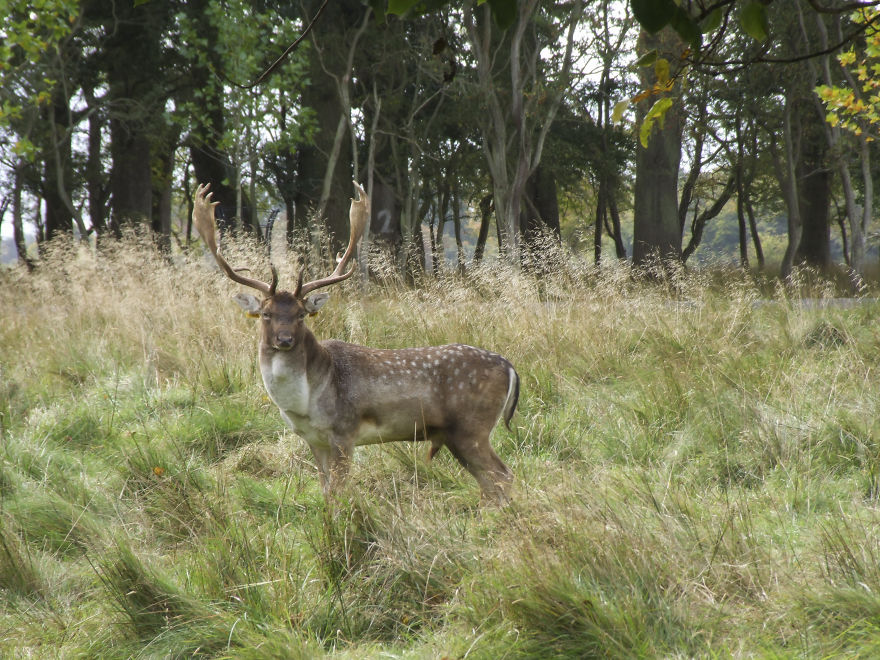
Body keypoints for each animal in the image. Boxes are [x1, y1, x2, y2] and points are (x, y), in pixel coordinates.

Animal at [192, 181, 518, 504]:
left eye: (301, 314)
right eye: (266, 313)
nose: (284, 339)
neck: (306, 402)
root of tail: (511, 368)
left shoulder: (344, 431)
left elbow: (338, 492)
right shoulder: (314, 439)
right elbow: (325, 493)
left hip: (471, 427)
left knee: (503, 474)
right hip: (456, 435)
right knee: (490, 482)